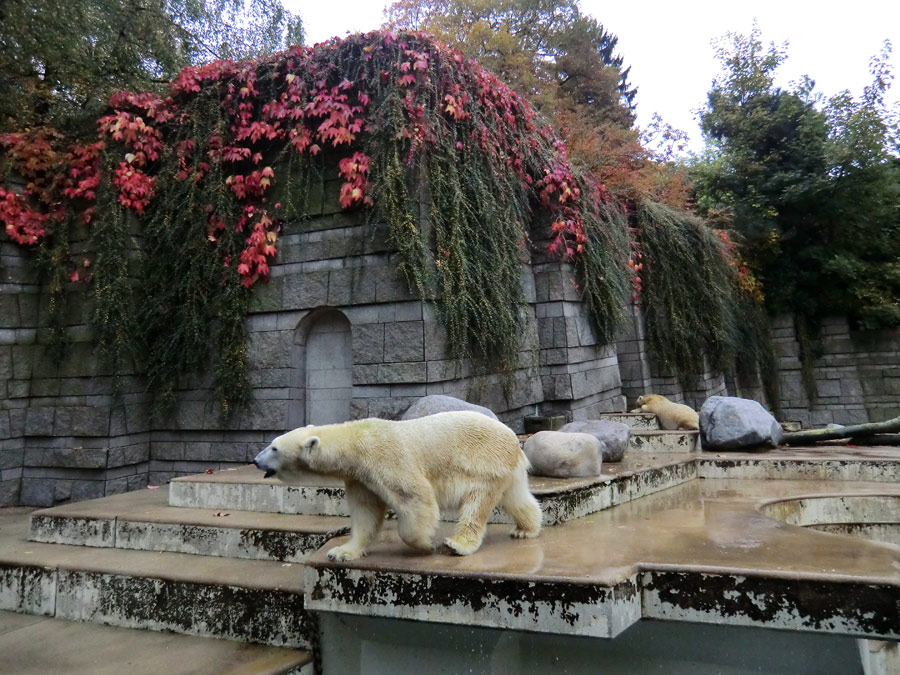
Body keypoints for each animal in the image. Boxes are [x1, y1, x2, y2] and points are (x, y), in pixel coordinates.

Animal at [251, 412, 540, 560]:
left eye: (274, 447)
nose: (255, 460)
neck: (354, 442)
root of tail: (514, 439)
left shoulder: (385, 458)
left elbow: (415, 497)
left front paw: (424, 544)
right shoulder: (359, 477)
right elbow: (365, 513)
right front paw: (342, 552)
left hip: (483, 463)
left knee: (476, 504)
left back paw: (457, 544)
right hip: (504, 469)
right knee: (516, 497)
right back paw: (525, 530)